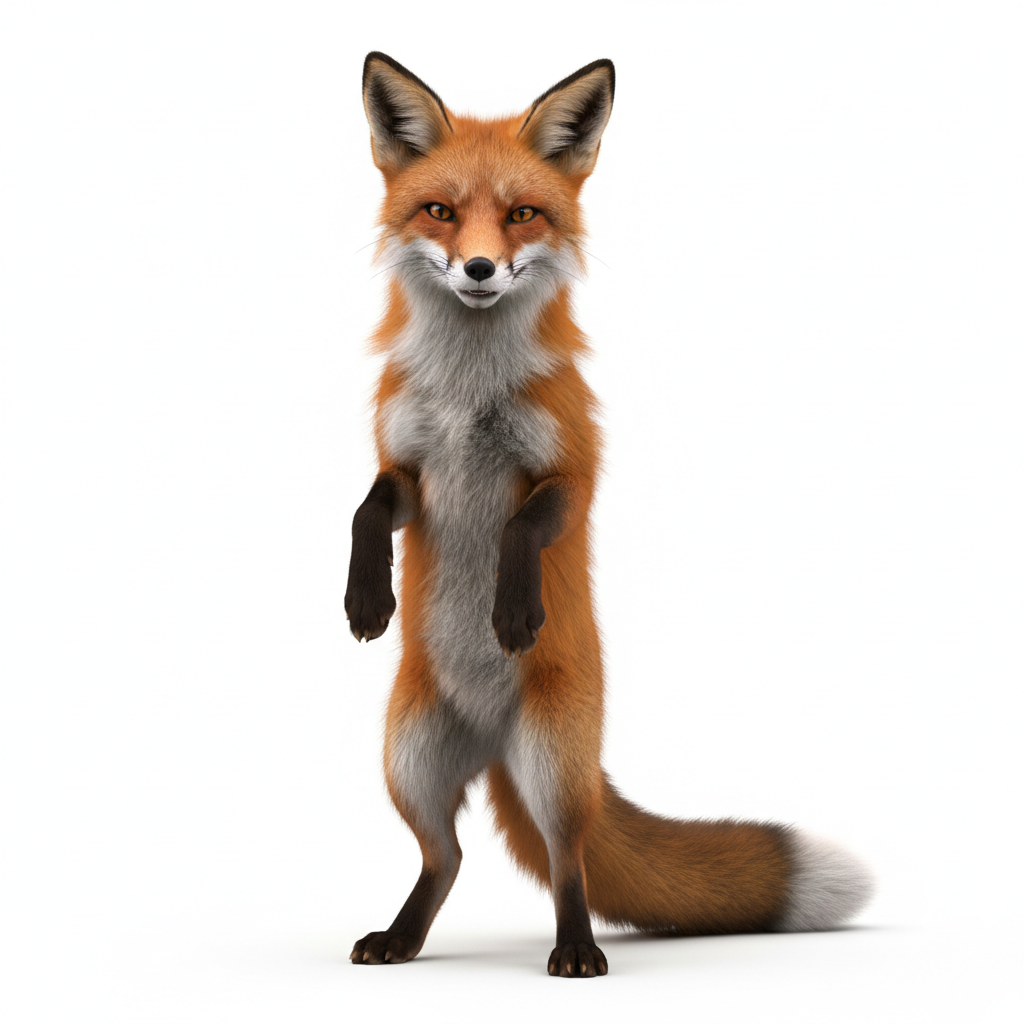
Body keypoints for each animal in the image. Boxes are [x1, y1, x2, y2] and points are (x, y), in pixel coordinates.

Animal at [345, 52, 873, 977]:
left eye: (522, 214)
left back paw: (576, 950)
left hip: (553, 767)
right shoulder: (408, 467)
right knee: (447, 857)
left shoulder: (574, 467)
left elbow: (522, 525)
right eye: (440, 211)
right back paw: (401, 939)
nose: (478, 269)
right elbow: (365, 511)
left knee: (567, 862)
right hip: (408, 764)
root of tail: (494, 746)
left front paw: (514, 612)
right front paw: (367, 597)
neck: (468, 393)